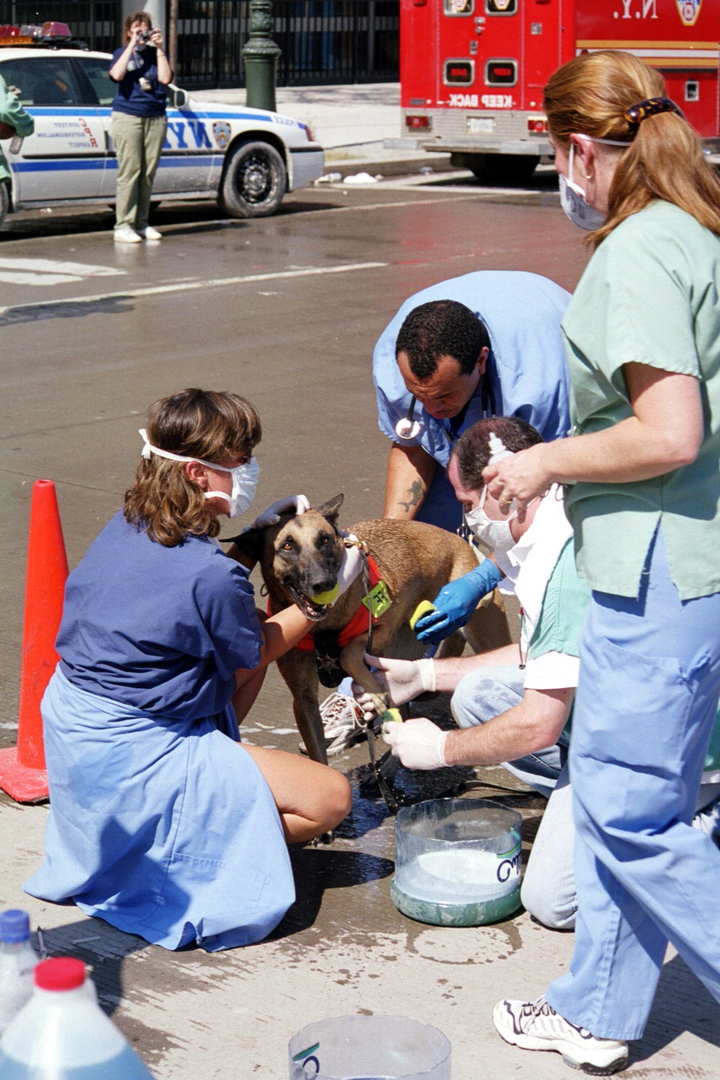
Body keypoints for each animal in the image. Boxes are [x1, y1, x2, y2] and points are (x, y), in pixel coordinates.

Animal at [231, 496, 511, 768]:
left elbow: (348, 652)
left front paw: (373, 690)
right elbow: (318, 756)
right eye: (287, 546)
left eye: (324, 540)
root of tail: (461, 541)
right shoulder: (303, 699)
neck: (323, 626)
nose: (324, 583)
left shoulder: (380, 629)